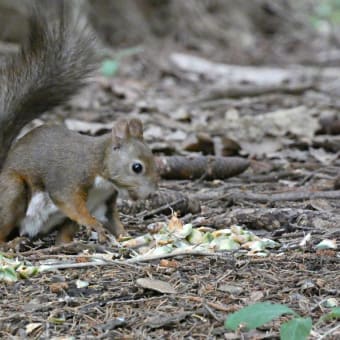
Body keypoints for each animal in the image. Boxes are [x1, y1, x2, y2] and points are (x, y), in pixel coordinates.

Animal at [0, 0, 159, 244]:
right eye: (137, 167)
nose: (151, 193)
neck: (99, 165)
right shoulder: (70, 177)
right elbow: (71, 203)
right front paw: (93, 224)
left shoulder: (104, 203)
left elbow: (113, 221)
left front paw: (124, 236)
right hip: (13, 191)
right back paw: (10, 245)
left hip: (58, 220)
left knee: (63, 232)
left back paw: (63, 245)